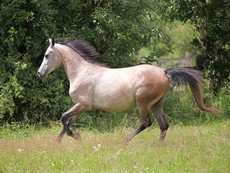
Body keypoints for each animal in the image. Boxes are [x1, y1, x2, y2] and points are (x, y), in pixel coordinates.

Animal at [36, 38, 218, 144]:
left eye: (46, 55)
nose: (39, 73)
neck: (81, 72)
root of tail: (164, 71)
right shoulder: (81, 107)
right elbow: (67, 122)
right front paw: (58, 144)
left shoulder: (83, 105)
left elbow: (63, 118)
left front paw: (75, 136)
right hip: (157, 104)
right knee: (164, 125)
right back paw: (158, 147)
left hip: (143, 103)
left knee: (146, 123)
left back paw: (126, 140)